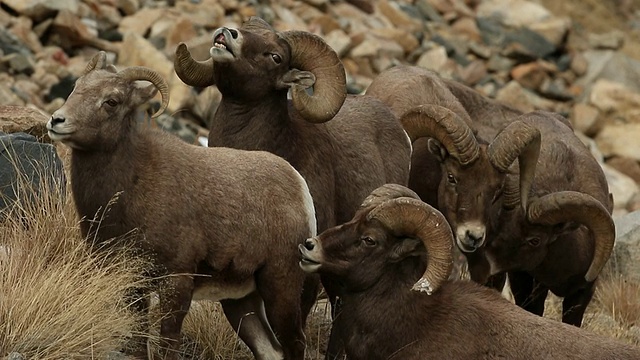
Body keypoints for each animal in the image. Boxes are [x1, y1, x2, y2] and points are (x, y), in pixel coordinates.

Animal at [46, 51, 320, 360]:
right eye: (76, 87)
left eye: (111, 101)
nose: (57, 121)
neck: (134, 186)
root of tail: (298, 186)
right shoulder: (133, 285)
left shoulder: (176, 281)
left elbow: (167, 344)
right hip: (240, 301)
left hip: (280, 286)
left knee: (294, 343)